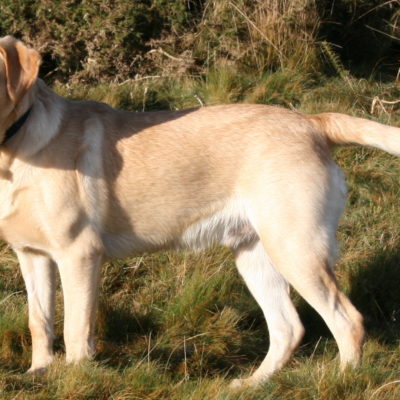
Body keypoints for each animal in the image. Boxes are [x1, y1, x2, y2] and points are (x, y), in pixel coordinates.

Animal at [0, 36, 400, 388]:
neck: (14, 152)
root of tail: (311, 122)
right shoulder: (32, 255)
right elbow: (40, 321)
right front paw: (38, 373)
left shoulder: (79, 254)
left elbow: (76, 330)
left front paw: (76, 379)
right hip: (256, 255)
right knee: (288, 327)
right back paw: (253, 384)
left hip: (296, 249)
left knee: (347, 321)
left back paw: (343, 380)